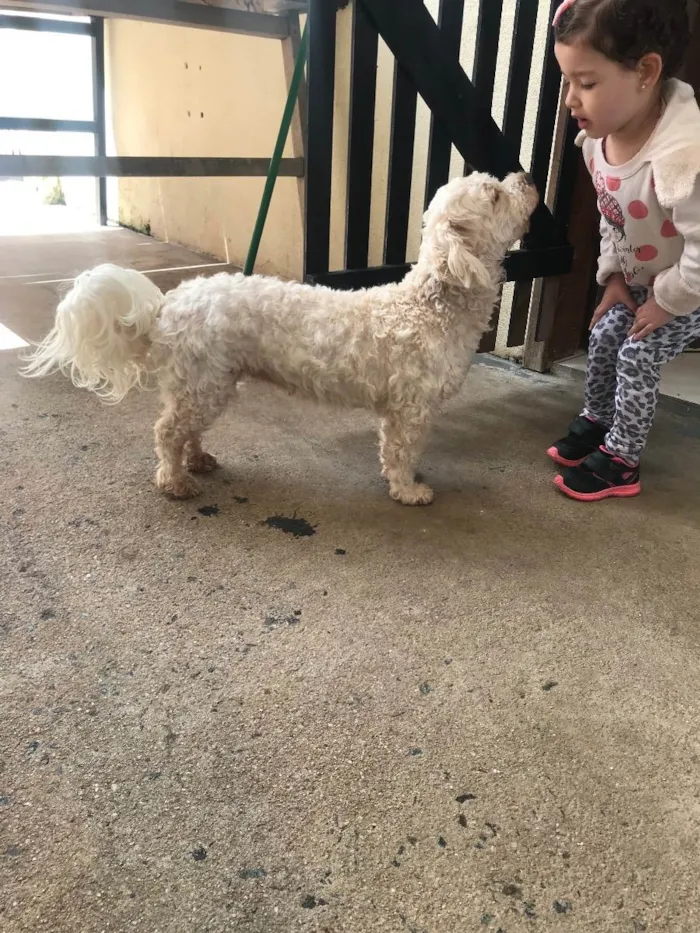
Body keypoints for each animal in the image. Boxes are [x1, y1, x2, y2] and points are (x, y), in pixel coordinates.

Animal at [21, 171, 536, 506]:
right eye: (493, 194)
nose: (527, 174)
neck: (430, 306)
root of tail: (170, 304)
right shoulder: (410, 410)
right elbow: (401, 451)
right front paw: (408, 489)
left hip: (206, 384)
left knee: (185, 429)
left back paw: (197, 460)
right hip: (203, 384)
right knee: (167, 431)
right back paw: (174, 482)